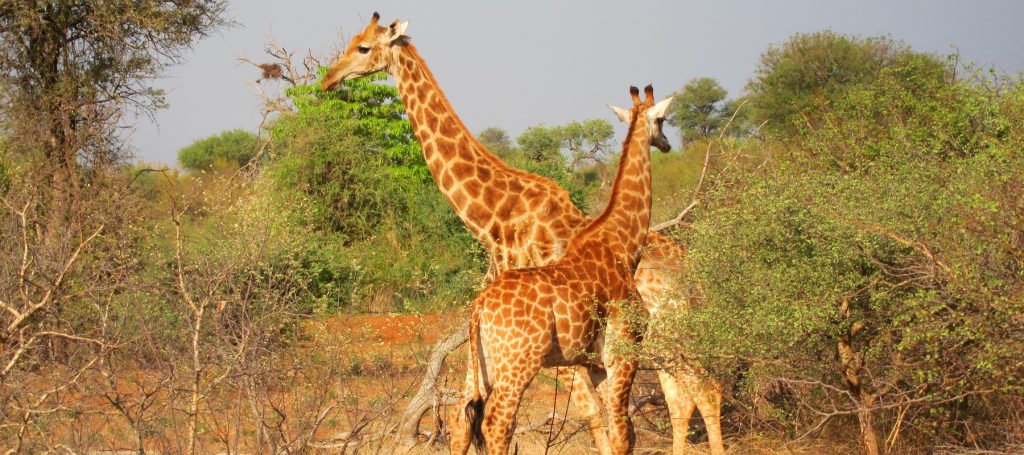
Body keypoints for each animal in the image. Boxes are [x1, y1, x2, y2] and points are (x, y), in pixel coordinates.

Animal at [448, 86, 671, 455]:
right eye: (663, 120)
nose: (666, 144)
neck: (624, 246)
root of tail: (479, 308)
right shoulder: (624, 352)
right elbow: (623, 434)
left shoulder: (595, 364)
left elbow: (615, 427)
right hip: (518, 364)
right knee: (496, 423)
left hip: (479, 362)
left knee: (460, 419)